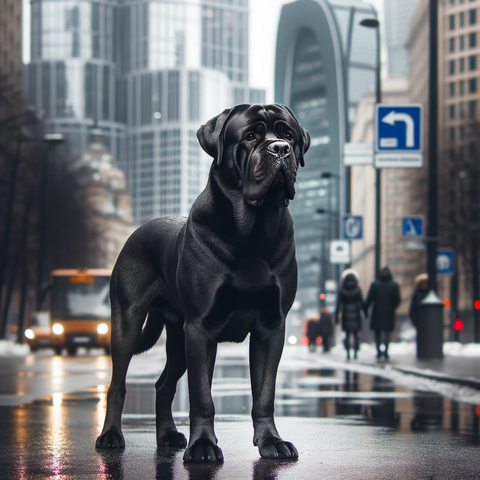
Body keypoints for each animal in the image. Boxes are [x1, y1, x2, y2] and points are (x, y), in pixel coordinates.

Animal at [94, 104, 312, 462]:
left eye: (289, 135)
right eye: (250, 136)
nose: (280, 149)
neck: (252, 232)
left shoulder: (270, 327)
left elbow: (264, 393)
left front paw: (271, 442)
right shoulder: (199, 328)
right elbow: (201, 396)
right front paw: (203, 446)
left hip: (176, 337)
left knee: (163, 385)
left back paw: (168, 435)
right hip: (128, 321)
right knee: (117, 383)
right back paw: (111, 436)